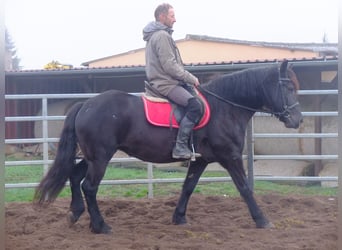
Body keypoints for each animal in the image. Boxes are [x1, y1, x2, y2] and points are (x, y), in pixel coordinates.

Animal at [34, 61, 302, 234]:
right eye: (288, 88)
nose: (297, 120)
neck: (224, 108)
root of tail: (85, 105)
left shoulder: (200, 159)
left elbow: (188, 187)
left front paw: (179, 218)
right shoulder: (231, 157)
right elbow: (245, 189)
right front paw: (262, 220)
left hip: (92, 156)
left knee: (74, 176)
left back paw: (76, 213)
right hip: (101, 157)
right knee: (89, 186)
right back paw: (100, 226)